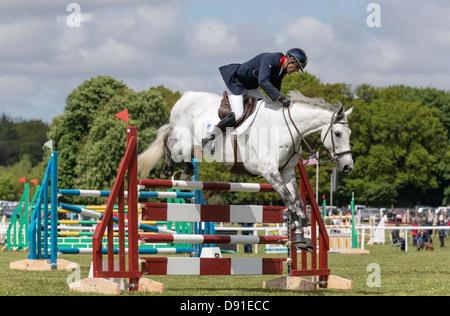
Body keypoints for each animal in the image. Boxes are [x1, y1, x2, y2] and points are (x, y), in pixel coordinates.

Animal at [139, 90, 354, 252]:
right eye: (337, 133)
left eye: (350, 133)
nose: (347, 166)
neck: (285, 129)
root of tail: (185, 96)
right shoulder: (270, 172)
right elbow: (290, 201)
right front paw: (299, 237)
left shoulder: (287, 172)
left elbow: (299, 203)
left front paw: (305, 239)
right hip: (181, 142)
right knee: (168, 140)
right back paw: (167, 171)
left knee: (182, 159)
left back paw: (180, 173)